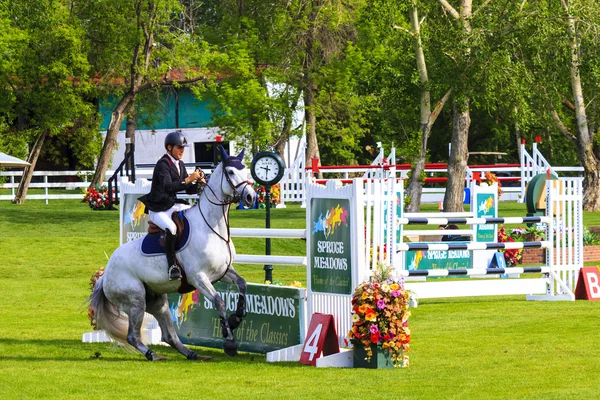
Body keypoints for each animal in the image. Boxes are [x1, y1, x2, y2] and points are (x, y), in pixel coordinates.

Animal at [88, 146, 255, 360]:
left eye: (247, 171)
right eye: (231, 172)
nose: (251, 197)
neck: (212, 227)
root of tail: (105, 275)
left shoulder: (222, 272)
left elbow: (242, 284)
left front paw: (237, 318)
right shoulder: (199, 278)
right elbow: (219, 301)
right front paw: (229, 340)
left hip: (157, 302)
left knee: (169, 335)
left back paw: (192, 354)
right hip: (135, 300)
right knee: (133, 336)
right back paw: (153, 355)